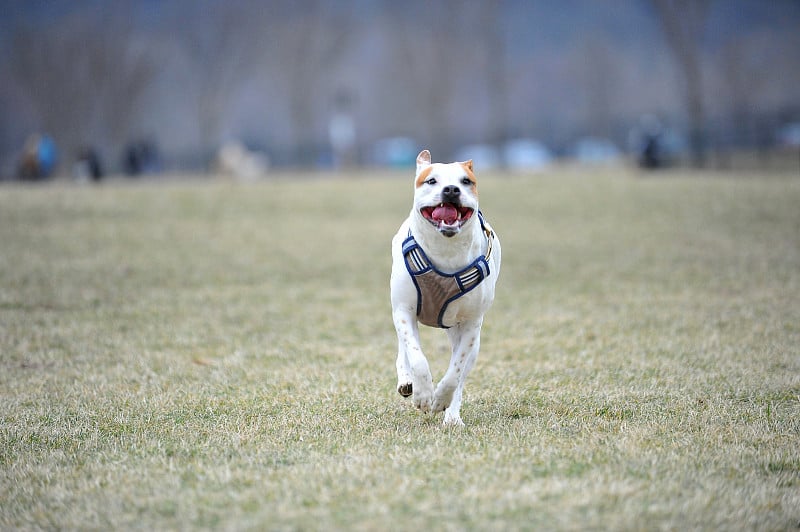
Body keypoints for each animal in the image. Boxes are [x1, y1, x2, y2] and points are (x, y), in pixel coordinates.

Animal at [390, 151, 500, 428]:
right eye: (431, 181)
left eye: (466, 181)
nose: (451, 189)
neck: (446, 249)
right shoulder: (404, 310)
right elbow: (417, 357)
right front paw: (423, 395)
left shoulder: (471, 323)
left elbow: (455, 371)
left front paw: (440, 400)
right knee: (404, 349)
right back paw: (407, 381)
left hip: (468, 337)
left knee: (461, 372)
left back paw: (452, 416)